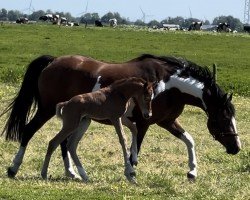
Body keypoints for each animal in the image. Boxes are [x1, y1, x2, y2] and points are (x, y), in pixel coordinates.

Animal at [0, 54, 241, 180]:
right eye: (224, 118)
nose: (236, 148)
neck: (168, 85)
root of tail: (53, 61)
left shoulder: (167, 121)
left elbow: (189, 140)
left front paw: (192, 171)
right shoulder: (144, 123)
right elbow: (135, 148)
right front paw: (131, 170)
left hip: (74, 118)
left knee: (64, 143)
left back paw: (72, 173)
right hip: (47, 109)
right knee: (29, 131)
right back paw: (13, 168)